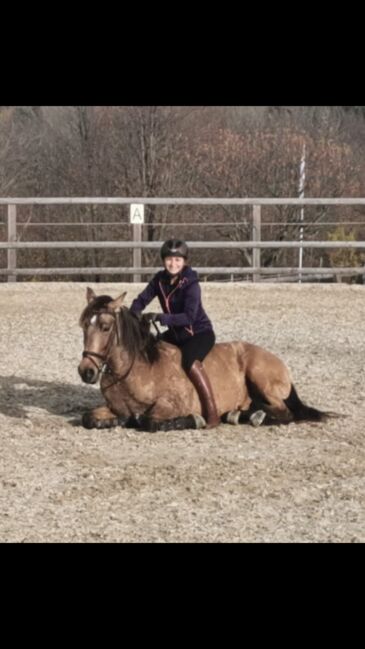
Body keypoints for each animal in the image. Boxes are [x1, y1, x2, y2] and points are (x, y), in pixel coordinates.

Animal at [78, 288, 334, 430]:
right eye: (83, 325)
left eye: (105, 327)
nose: (86, 371)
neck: (132, 371)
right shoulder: (113, 407)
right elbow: (89, 418)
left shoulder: (172, 405)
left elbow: (149, 421)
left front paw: (197, 420)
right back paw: (238, 413)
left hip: (260, 376)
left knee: (284, 412)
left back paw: (251, 416)